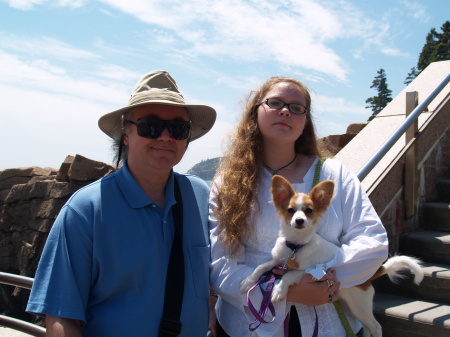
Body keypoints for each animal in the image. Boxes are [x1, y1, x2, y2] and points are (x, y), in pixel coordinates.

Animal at [241, 175, 424, 336]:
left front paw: (278, 290)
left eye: (309, 211)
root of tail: (369, 276)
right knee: (367, 327)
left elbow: (289, 275)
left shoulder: (309, 271)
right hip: (352, 306)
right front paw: (247, 281)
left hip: (359, 305)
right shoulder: (278, 260)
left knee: (376, 327)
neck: (296, 247)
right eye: (290, 210)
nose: (299, 220)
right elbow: (261, 266)